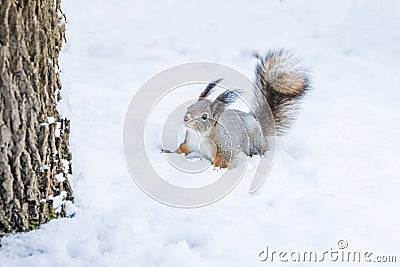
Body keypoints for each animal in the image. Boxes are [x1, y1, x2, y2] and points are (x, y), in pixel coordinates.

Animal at [162, 49, 310, 169]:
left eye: (204, 116)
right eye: (189, 107)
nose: (186, 118)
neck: (200, 135)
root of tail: (259, 127)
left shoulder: (223, 147)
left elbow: (223, 160)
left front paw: (215, 170)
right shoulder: (190, 142)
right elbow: (182, 149)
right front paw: (168, 152)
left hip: (252, 144)